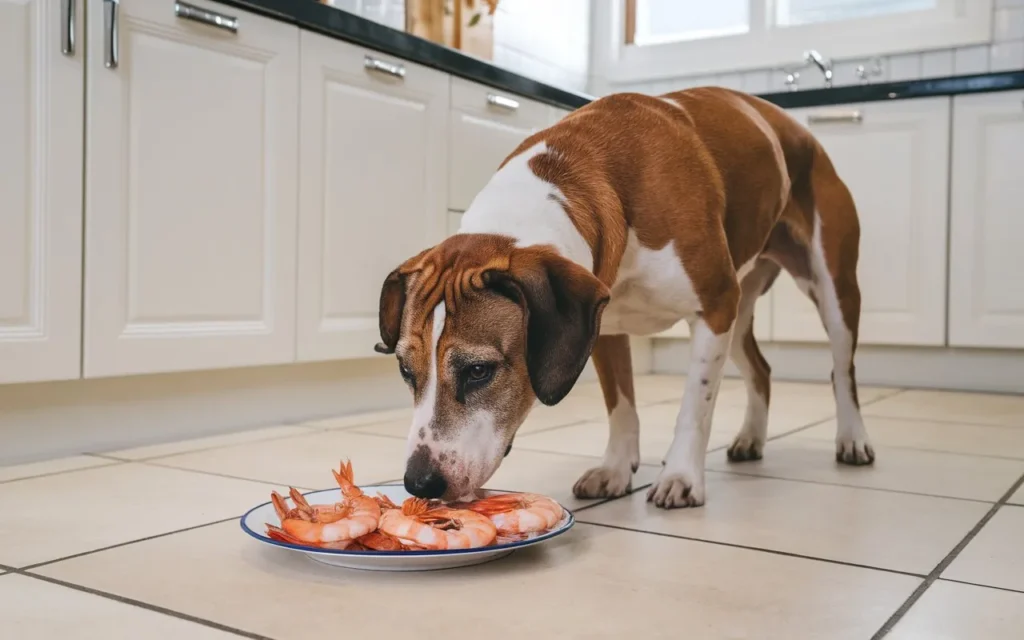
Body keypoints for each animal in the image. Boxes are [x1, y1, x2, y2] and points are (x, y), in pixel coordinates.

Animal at [374, 86, 872, 509]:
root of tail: (799, 130)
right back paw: (752, 437)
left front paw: (682, 476)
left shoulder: (713, 307)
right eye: (405, 371)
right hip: (741, 307)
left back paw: (852, 438)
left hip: (829, 290)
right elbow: (621, 406)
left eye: (479, 371)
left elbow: (696, 404)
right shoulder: (602, 323)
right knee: (762, 369)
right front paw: (615, 469)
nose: (419, 483)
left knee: (842, 370)